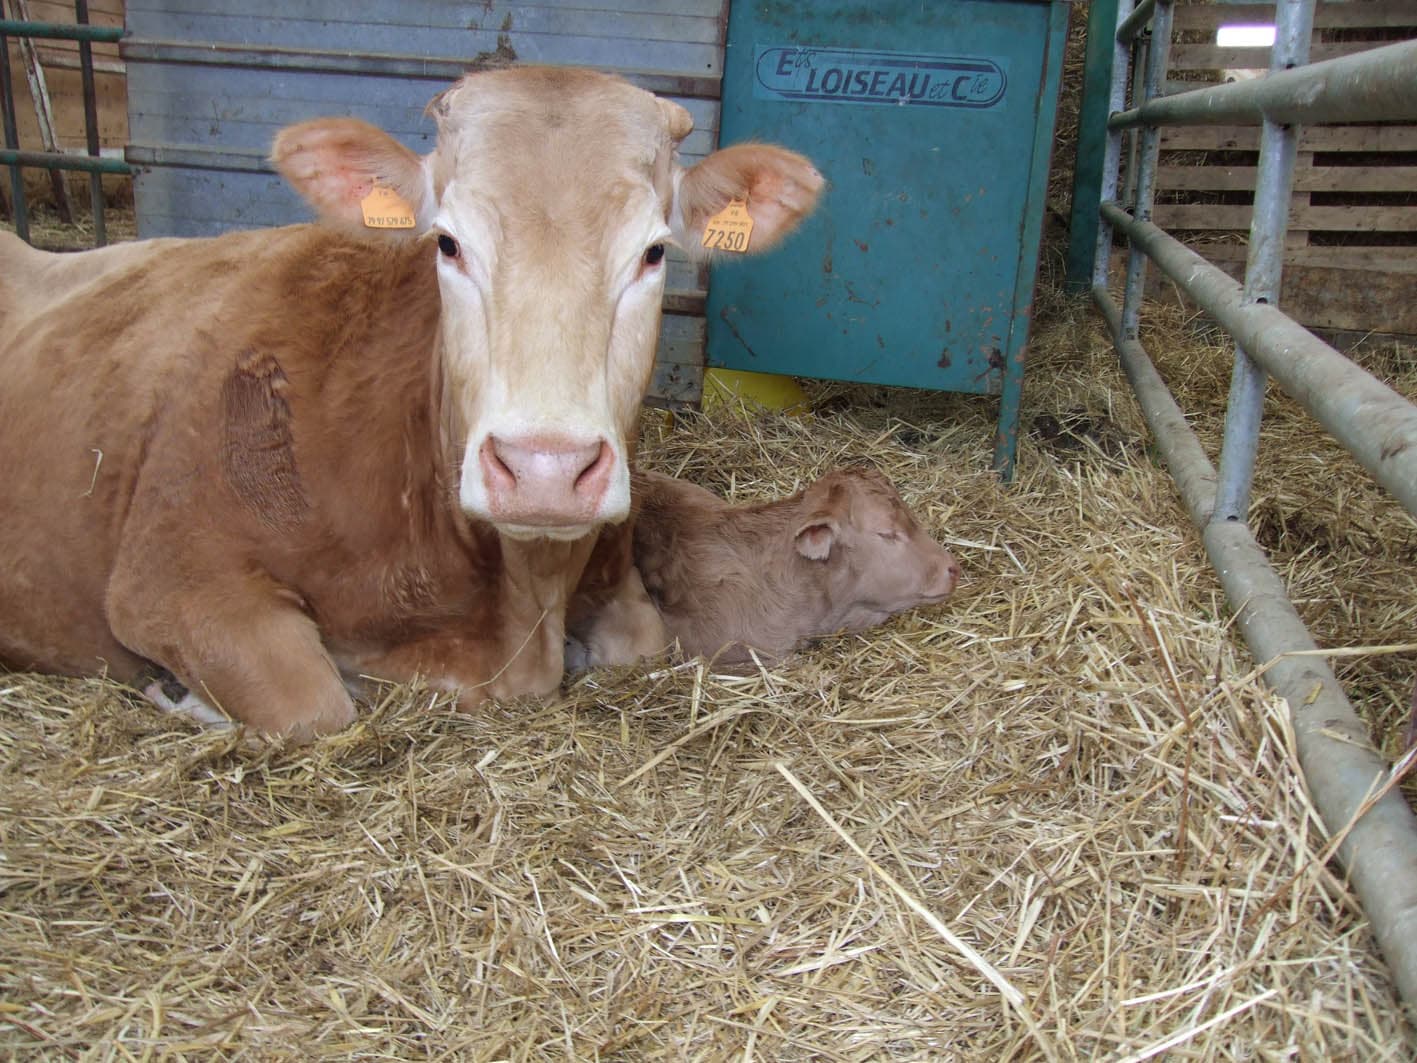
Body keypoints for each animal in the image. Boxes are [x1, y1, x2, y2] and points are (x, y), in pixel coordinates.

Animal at [0, 65, 822, 739]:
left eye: (653, 253)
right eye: (448, 244)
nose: (545, 471)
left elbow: (640, 642)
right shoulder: (169, 577)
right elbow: (312, 704)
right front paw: (184, 694)